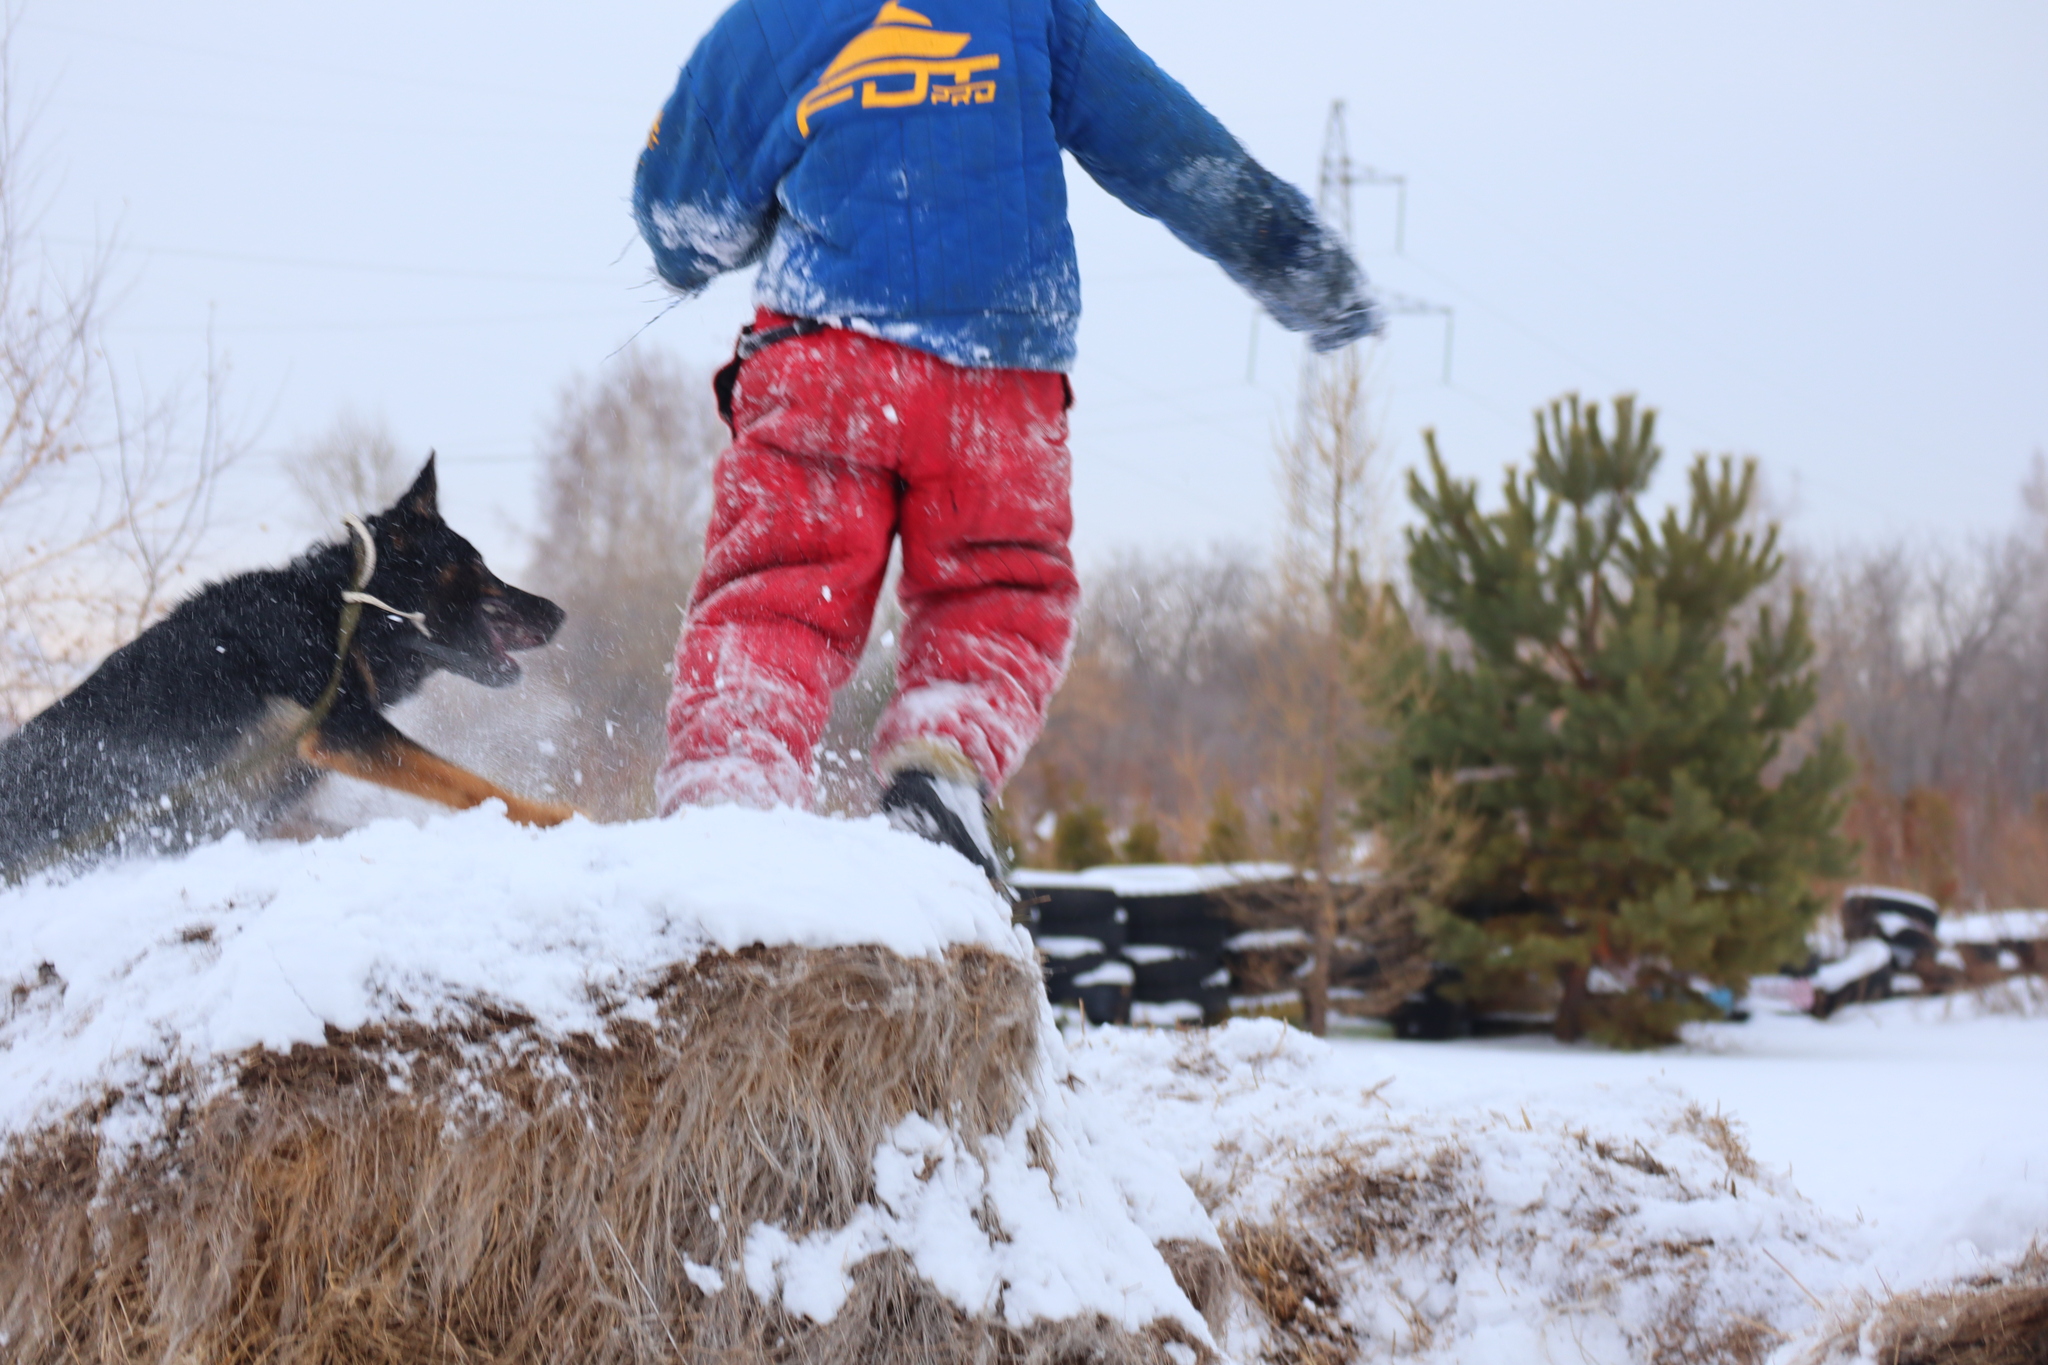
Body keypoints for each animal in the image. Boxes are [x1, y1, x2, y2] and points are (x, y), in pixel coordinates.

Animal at [0, 458, 573, 888]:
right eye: (477, 566)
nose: (559, 613)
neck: (340, 614)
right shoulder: (346, 732)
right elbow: (473, 784)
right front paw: (560, 818)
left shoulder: (274, 805)